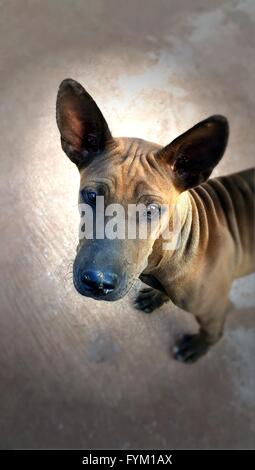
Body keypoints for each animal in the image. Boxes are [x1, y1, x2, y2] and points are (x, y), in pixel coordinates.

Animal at [56, 79, 254, 362]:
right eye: (91, 195)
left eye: (151, 209)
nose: (97, 282)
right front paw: (156, 297)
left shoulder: (215, 309)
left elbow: (212, 334)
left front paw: (197, 348)